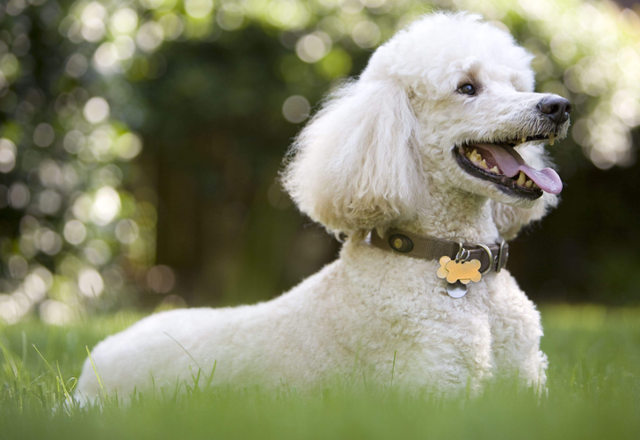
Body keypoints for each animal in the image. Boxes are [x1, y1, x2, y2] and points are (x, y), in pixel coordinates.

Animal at [74, 11, 568, 402]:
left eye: (516, 84)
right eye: (467, 87)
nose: (559, 106)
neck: (456, 265)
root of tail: (91, 363)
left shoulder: (528, 384)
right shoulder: (435, 389)